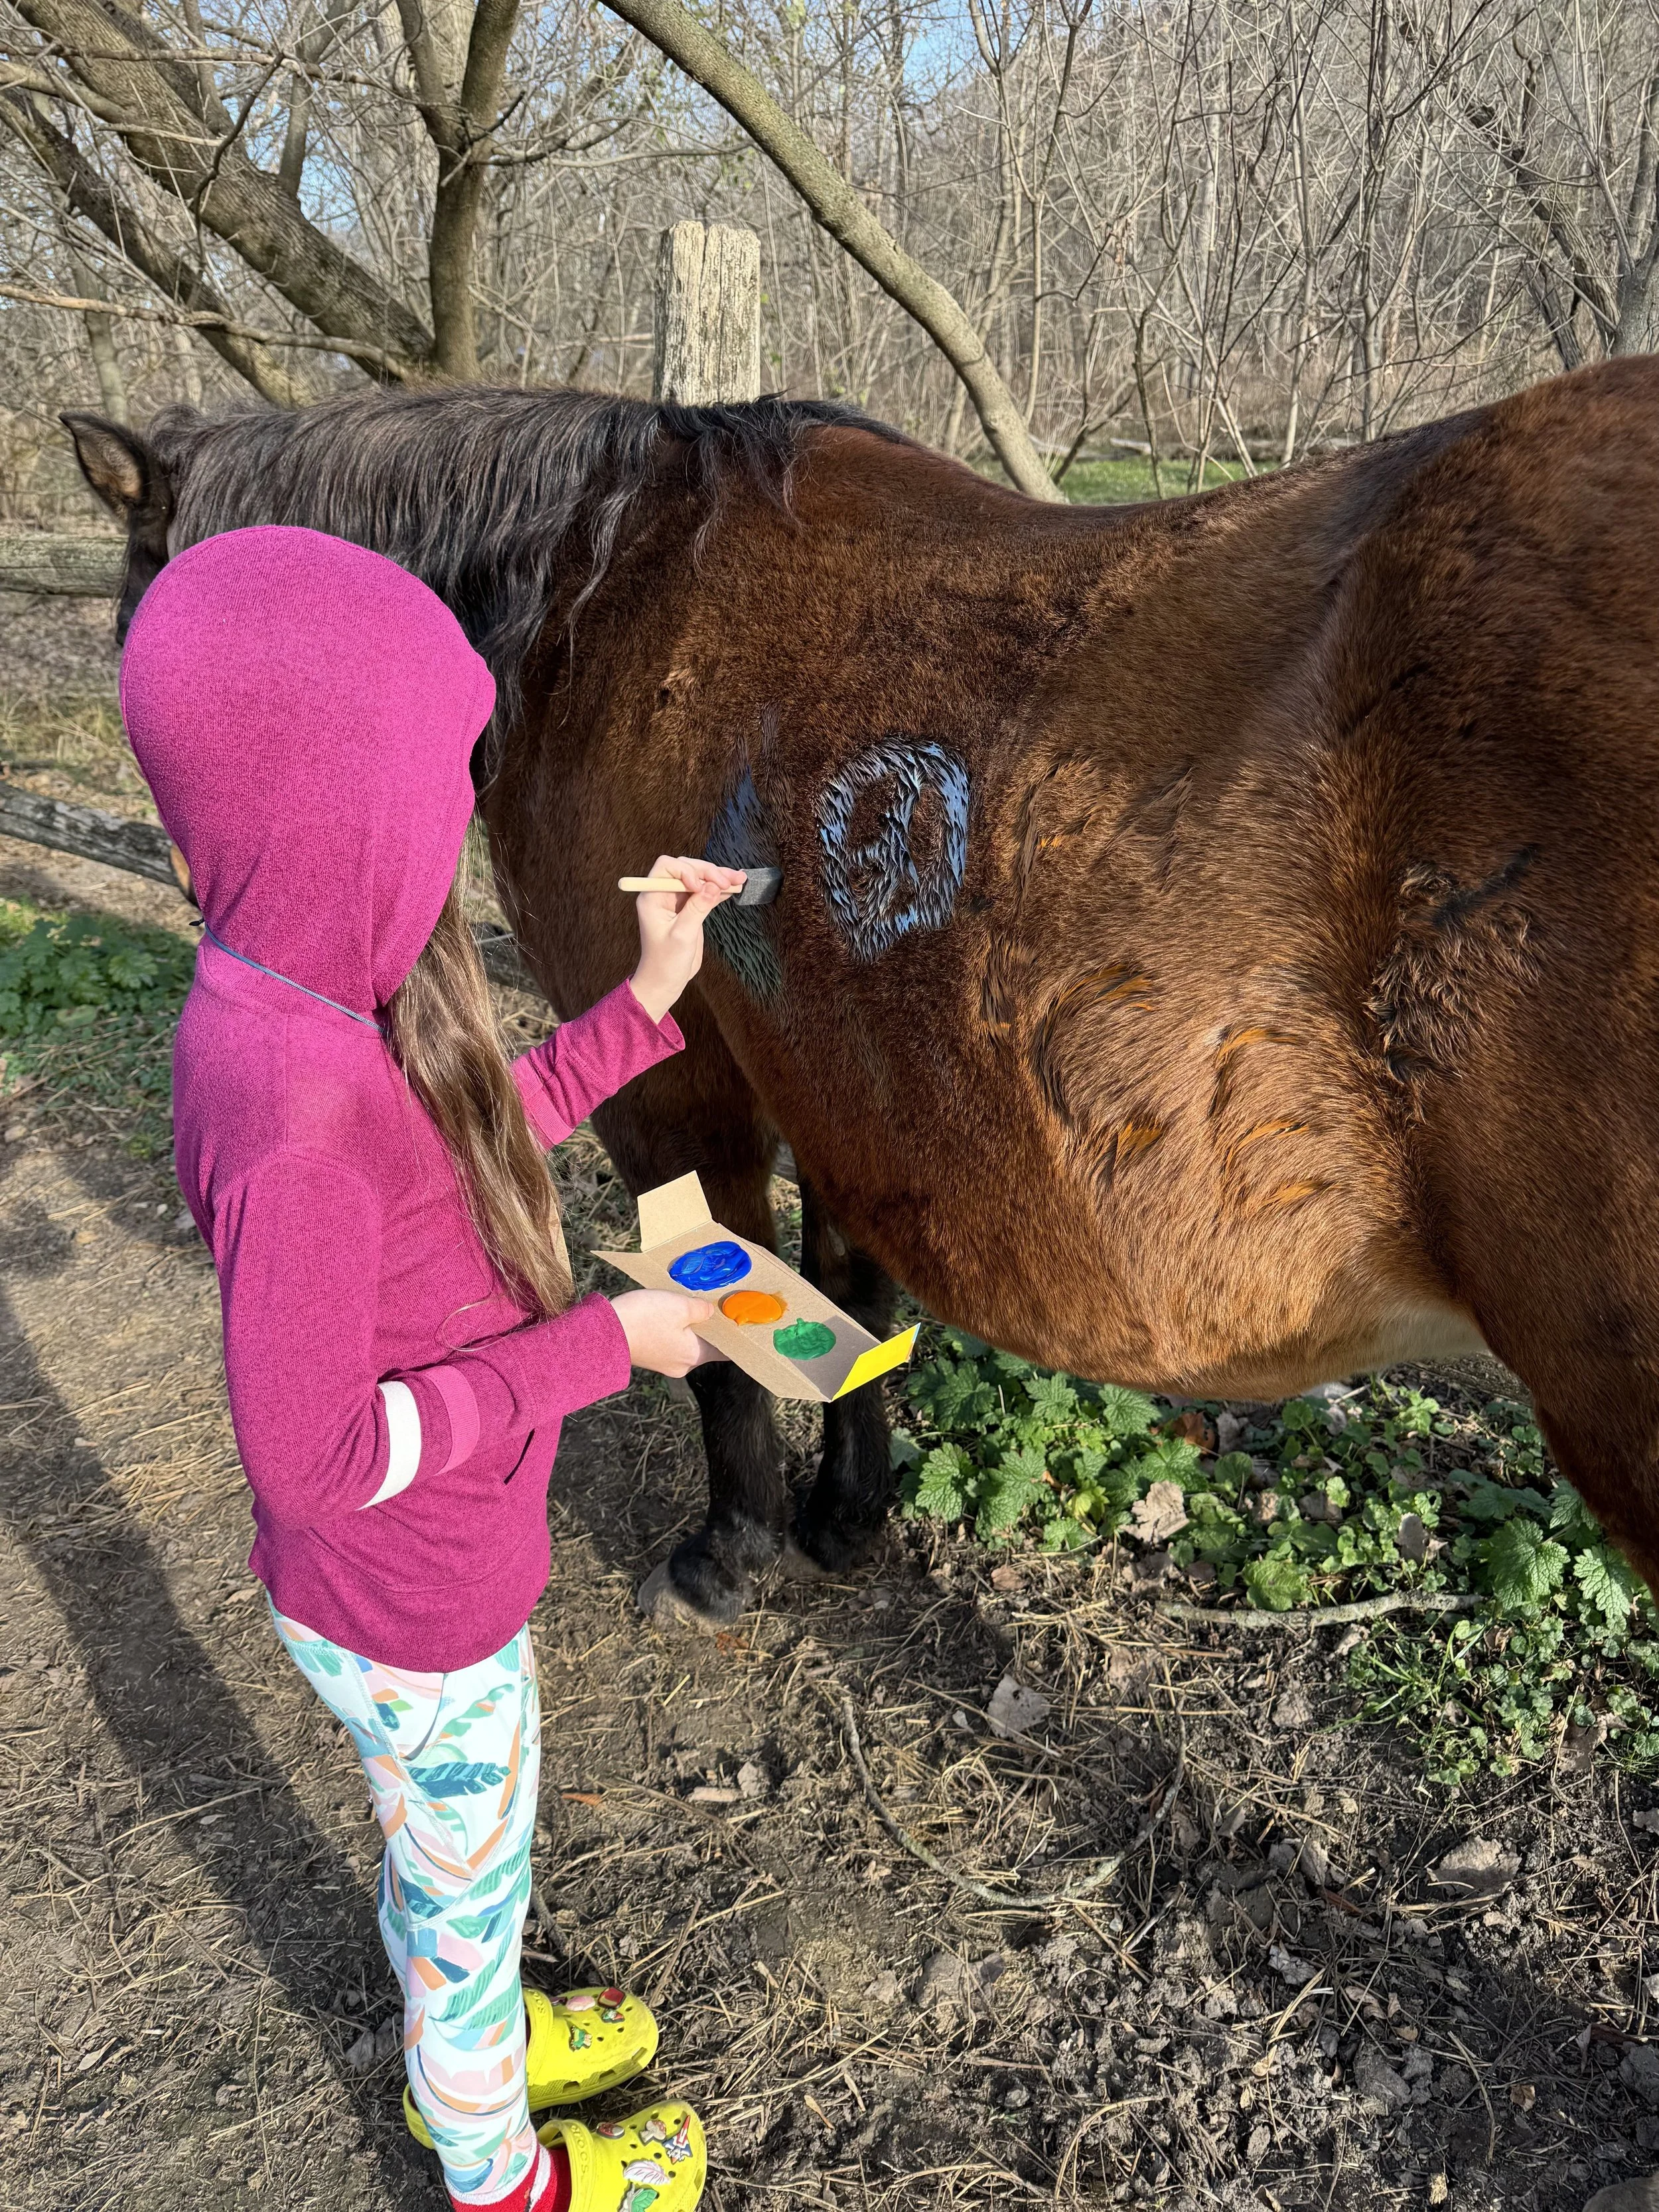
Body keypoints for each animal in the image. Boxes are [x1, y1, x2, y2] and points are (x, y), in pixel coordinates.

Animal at [63, 357, 1659, 1633]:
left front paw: (732, 1551)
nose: (214, 910)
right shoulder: (841, 1077)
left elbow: (722, 1338)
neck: (608, 589)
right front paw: (846, 1519)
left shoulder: (687, 1083)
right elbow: (850, 1292)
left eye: (146, 640)